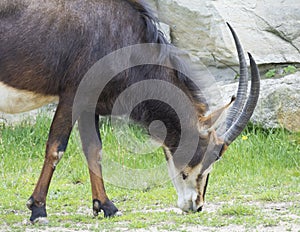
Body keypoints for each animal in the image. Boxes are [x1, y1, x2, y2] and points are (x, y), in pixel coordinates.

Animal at [0, 0, 260, 223]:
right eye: (211, 154)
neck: (122, 35)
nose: (197, 205)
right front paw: (38, 209)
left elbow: (94, 149)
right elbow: (56, 148)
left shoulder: (89, 103)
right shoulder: (72, 96)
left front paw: (105, 206)